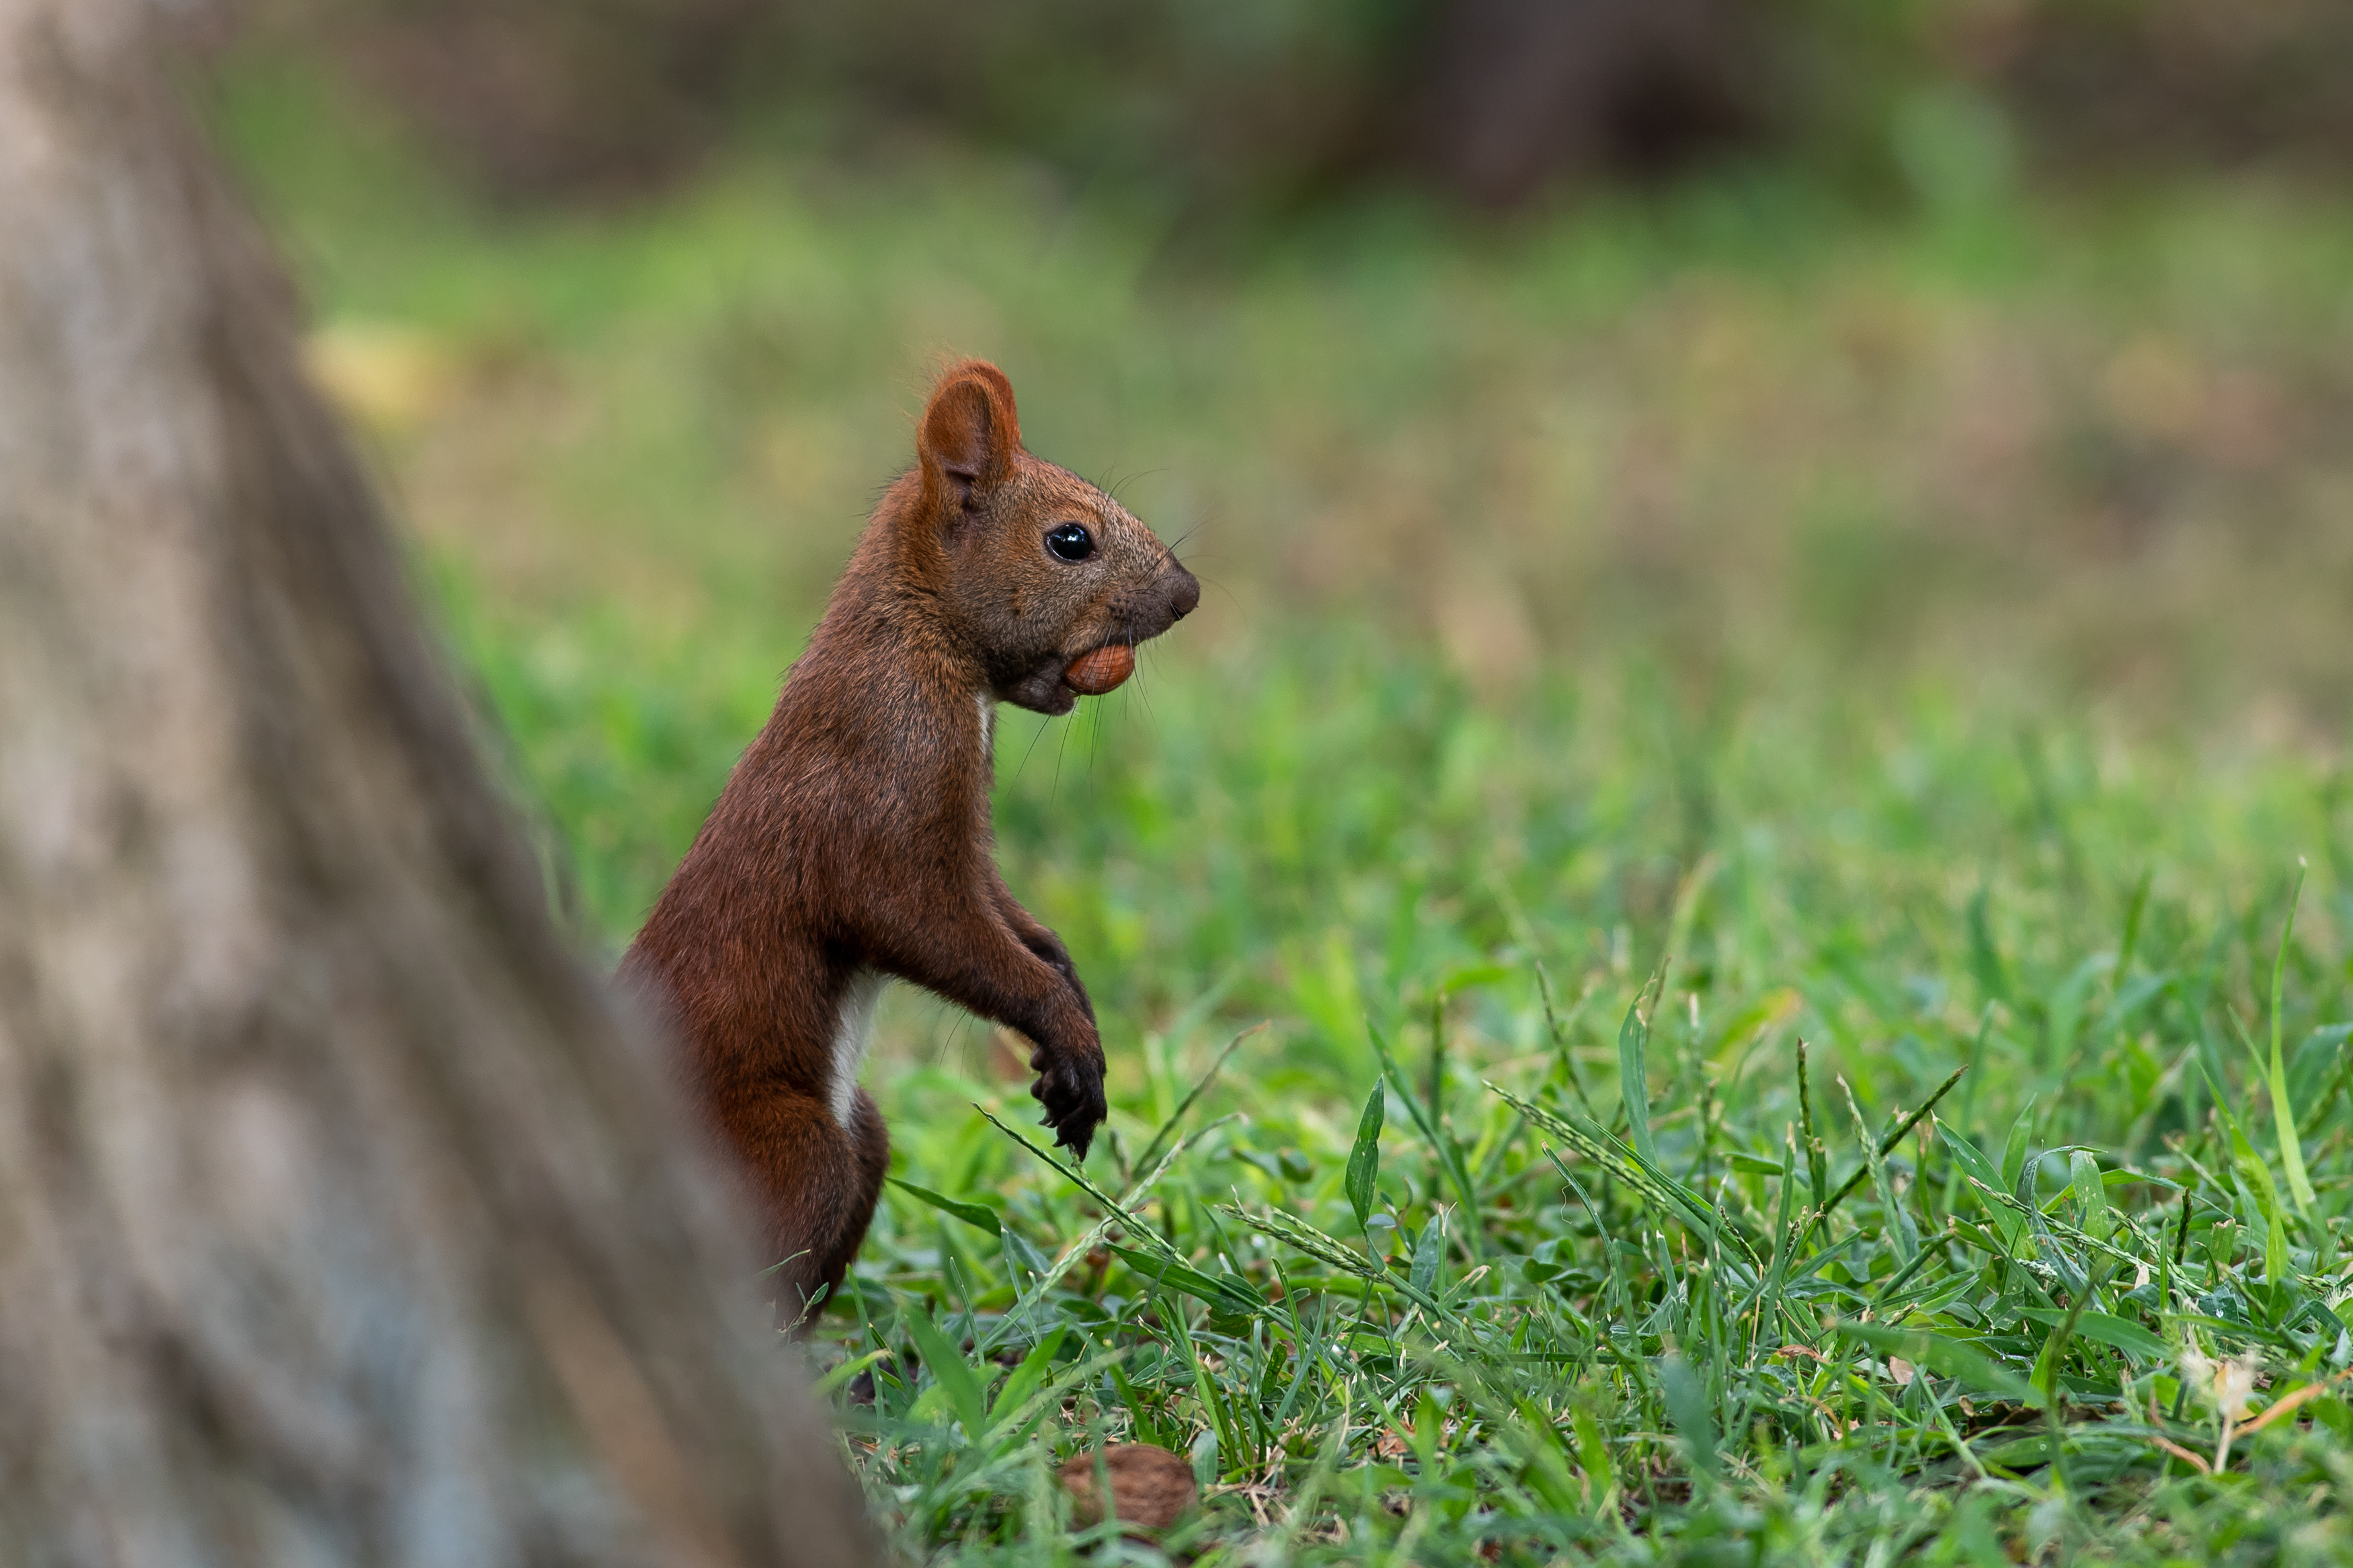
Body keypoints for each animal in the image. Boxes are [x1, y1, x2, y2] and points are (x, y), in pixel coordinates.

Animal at [621, 362, 1195, 1316]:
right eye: (1069, 540)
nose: (1188, 595)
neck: (916, 641)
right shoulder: (882, 799)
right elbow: (930, 928)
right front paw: (1064, 1028)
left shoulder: (969, 847)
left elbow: (1016, 921)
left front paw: (1070, 1015)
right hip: (790, 1149)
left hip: (861, 1133)